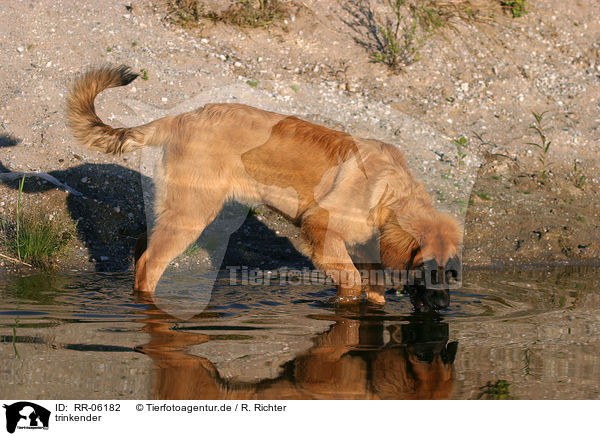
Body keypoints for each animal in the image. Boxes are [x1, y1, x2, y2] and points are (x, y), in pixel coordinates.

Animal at [68, 65, 462, 306]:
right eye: (425, 267)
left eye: (449, 270)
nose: (443, 306)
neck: (389, 195)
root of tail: (181, 117)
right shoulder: (322, 229)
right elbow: (350, 283)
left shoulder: (369, 253)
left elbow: (374, 292)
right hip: (191, 214)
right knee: (149, 264)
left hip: (177, 210)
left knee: (143, 247)